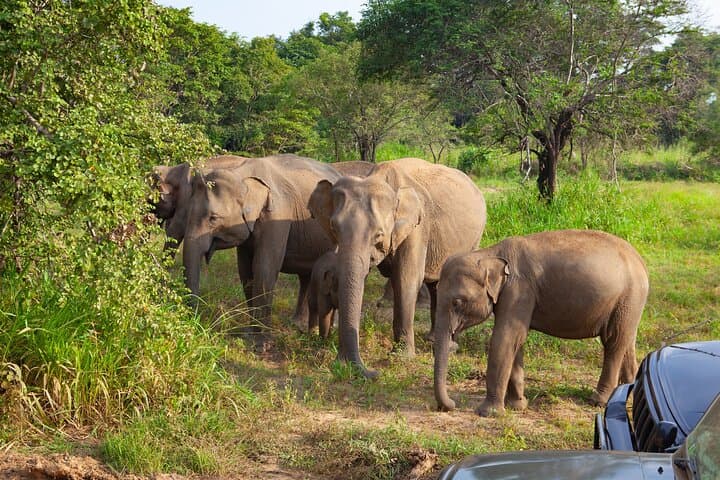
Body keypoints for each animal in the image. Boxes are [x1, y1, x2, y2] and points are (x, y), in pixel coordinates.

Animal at [182, 154, 342, 335]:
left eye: (213, 218)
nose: (196, 323)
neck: (240, 171)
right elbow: (245, 271)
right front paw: (251, 329)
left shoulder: (278, 215)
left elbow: (264, 267)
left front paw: (260, 333)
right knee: (306, 277)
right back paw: (298, 324)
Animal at [309, 157, 487, 377]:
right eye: (334, 228)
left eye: (378, 234)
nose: (373, 372)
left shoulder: (418, 226)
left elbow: (406, 278)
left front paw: (402, 356)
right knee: (437, 286)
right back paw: (434, 340)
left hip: (474, 238)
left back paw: (450, 346)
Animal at [433, 229, 650, 417]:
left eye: (457, 302)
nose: (451, 404)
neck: (490, 253)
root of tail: (640, 261)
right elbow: (516, 341)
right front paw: (517, 405)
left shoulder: (519, 290)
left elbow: (506, 338)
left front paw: (488, 413)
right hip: (628, 305)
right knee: (626, 341)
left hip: (628, 297)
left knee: (613, 341)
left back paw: (599, 401)